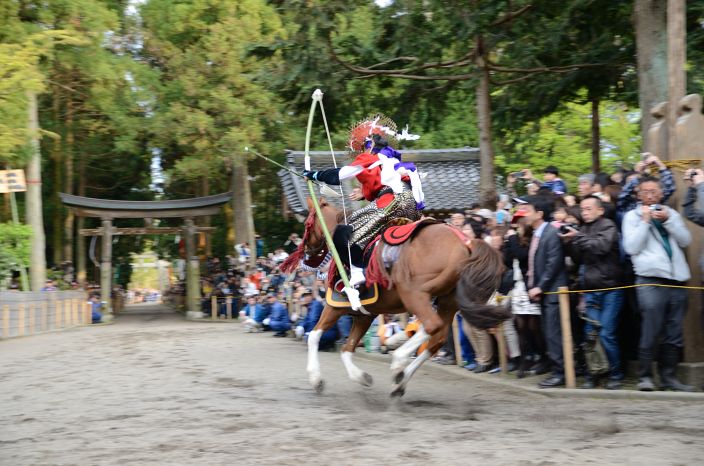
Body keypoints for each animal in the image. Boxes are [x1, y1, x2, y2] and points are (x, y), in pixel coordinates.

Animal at [284, 198, 508, 398]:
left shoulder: (336, 305)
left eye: (307, 223)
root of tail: (465, 243)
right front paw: (362, 377)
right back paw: (399, 382)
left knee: (432, 325)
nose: (305, 251)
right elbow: (347, 348)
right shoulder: (365, 315)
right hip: (447, 301)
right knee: (437, 338)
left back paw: (399, 361)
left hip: (413, 293)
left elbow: (314, 336)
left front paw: (316, 379)